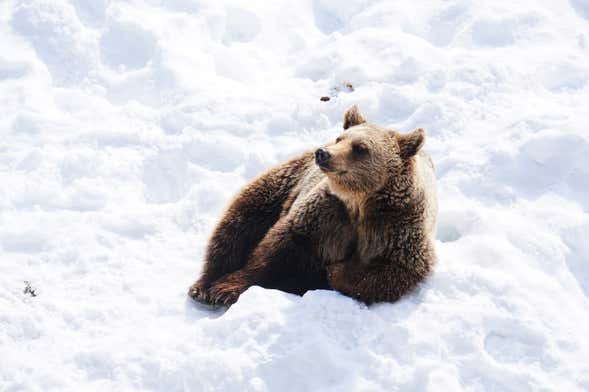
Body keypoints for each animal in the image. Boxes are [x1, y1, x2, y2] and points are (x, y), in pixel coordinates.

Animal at [188, 105, 436, 306]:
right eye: (340, 138)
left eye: (360, 147)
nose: (323, 153)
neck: (359, 202)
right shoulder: (327, 214)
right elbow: (278, 248)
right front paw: (224, 289)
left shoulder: (395, 227)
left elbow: (394, 270)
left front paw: (335, 271)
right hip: (283, 185)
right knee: (237, 224)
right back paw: (203, 285)